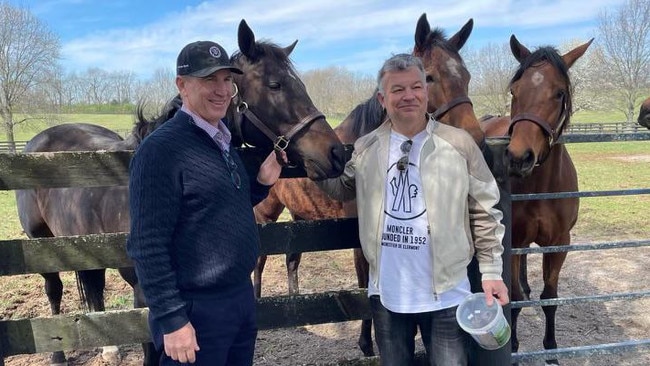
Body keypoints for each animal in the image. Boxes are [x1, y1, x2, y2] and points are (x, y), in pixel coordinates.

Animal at [12, 19, 344, 366]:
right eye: (275, 85)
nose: (336, 152)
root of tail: (39, 140)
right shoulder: (148, 295)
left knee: (94, 285)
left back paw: (110, 350)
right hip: (41, 244)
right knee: (54, 290)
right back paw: (58, 354)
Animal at [251, 12, 478, 356]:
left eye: (465, 77)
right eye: (429, 78)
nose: (477, 138)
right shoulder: (359, 239)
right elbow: (364, 287)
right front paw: (367, 344)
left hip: (299, 216)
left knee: (292, 259)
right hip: (266, 214)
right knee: (260, 260)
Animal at [480, 35, 592, 366]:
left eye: (559, 93)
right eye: (515, 91)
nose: (519, 157)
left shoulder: (559, 243)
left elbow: (550, 297)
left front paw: (552, 351)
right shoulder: (514, 240)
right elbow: (513, 298)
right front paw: (515, 347)